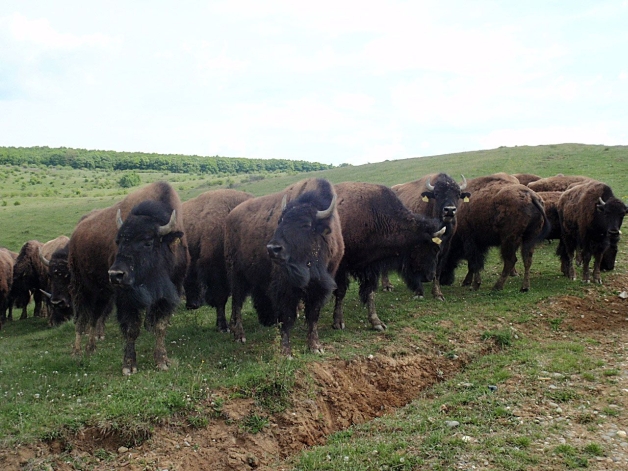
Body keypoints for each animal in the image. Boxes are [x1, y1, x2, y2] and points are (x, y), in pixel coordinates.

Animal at [68, 181, 188, 376]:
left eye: (148, 241)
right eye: (118, 241)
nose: (115, 274)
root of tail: (76, 233)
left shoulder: (167, 295)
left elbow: (160, 327)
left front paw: (162, 361)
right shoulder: (127, 299)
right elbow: (132, 329)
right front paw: (129, 366)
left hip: (102, 292)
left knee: (93, 317)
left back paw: (91, 348)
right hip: (80, 287)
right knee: (80, 319)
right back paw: (77, 352)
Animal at [224, 179, 344, 356]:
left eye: (306, 224)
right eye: (280, 221)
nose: (273, 249)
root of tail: (230, 217)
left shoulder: (319, 288)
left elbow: (313, 316)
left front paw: (315, 347)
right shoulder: (286, 288)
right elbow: (286, 318)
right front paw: (286, 352)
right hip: (237, 274)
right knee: (237, 302)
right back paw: (239, 336)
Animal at [334, 182, 446, 332]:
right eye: (433, 249)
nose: (430, 276)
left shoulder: (370, 268)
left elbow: (370, 293)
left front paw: (376, 322)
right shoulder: (341, 268)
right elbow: (341, 291)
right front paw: (338, 322)